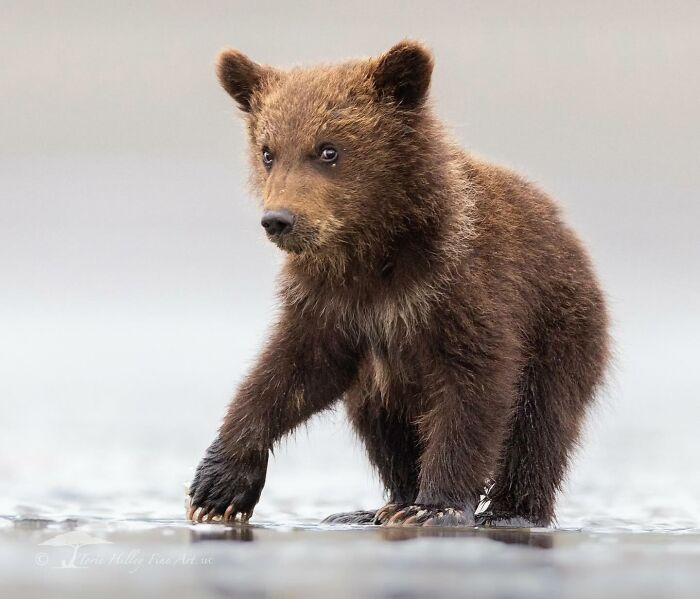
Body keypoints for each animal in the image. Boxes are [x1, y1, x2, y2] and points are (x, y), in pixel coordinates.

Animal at [187, 40, 610, 528]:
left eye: (328, 150)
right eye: (268, 151)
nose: (279, 219)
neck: (376, 252)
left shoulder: (461, 285)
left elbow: (475, 389)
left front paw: (437, 506)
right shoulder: (332, 303)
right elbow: (291, 372)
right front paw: (218, 487)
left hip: (561, 327)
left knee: (541, 421)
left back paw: (510, 511)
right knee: (378, 415)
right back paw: (378, 505)